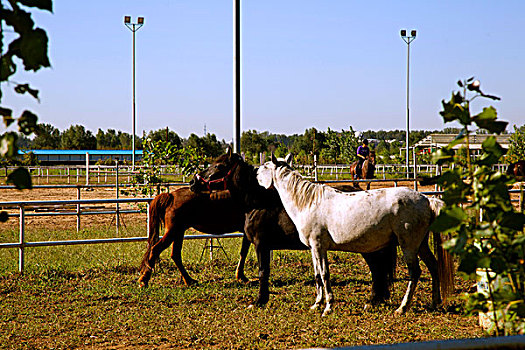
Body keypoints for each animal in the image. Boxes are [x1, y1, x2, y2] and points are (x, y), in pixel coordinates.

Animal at [188, 149, 398, 308]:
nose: (193, 182)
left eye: (218, 166)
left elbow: (263, 271)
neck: (259, 202)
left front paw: (259, 301)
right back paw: (376, 299)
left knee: (377, 269)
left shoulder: (261, 245)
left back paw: (374, 299)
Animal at [256, 154, 452, 316]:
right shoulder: (313, 249)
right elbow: (317, 275)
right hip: (421, 244)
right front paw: (317, 304)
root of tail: (427, 199)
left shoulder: (319, 246)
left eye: (265, 166)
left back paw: (402, 308)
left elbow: (325, 274)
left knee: (415, 272)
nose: (256, 174)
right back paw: (435, 302)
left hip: (409, 245)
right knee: (434, 266)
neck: (308, 202)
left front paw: (328, 307)